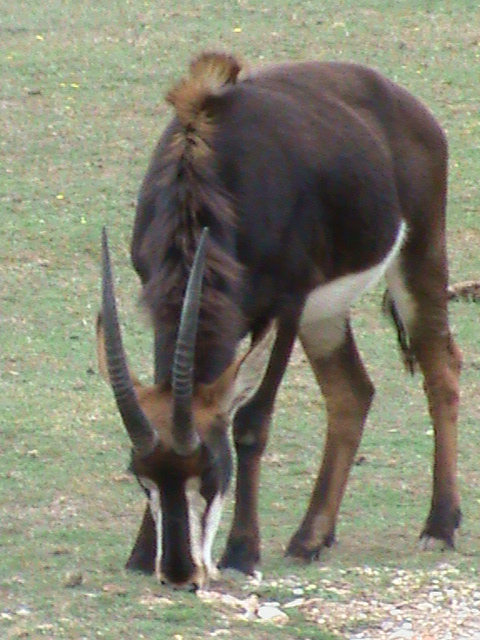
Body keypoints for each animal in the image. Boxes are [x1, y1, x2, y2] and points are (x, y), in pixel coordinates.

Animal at [97, 52, 462, 591]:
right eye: (141, 476)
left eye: (211, 469)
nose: (183, 574)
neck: (214, 174)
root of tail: (404, 102)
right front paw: (141, 555)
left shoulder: (286, 304)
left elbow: (251, 422)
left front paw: (241, 553)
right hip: (325, 313)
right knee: (352, 392)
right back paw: (310, 538)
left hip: (416, 257)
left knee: (442, 372)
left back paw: (439, 526)